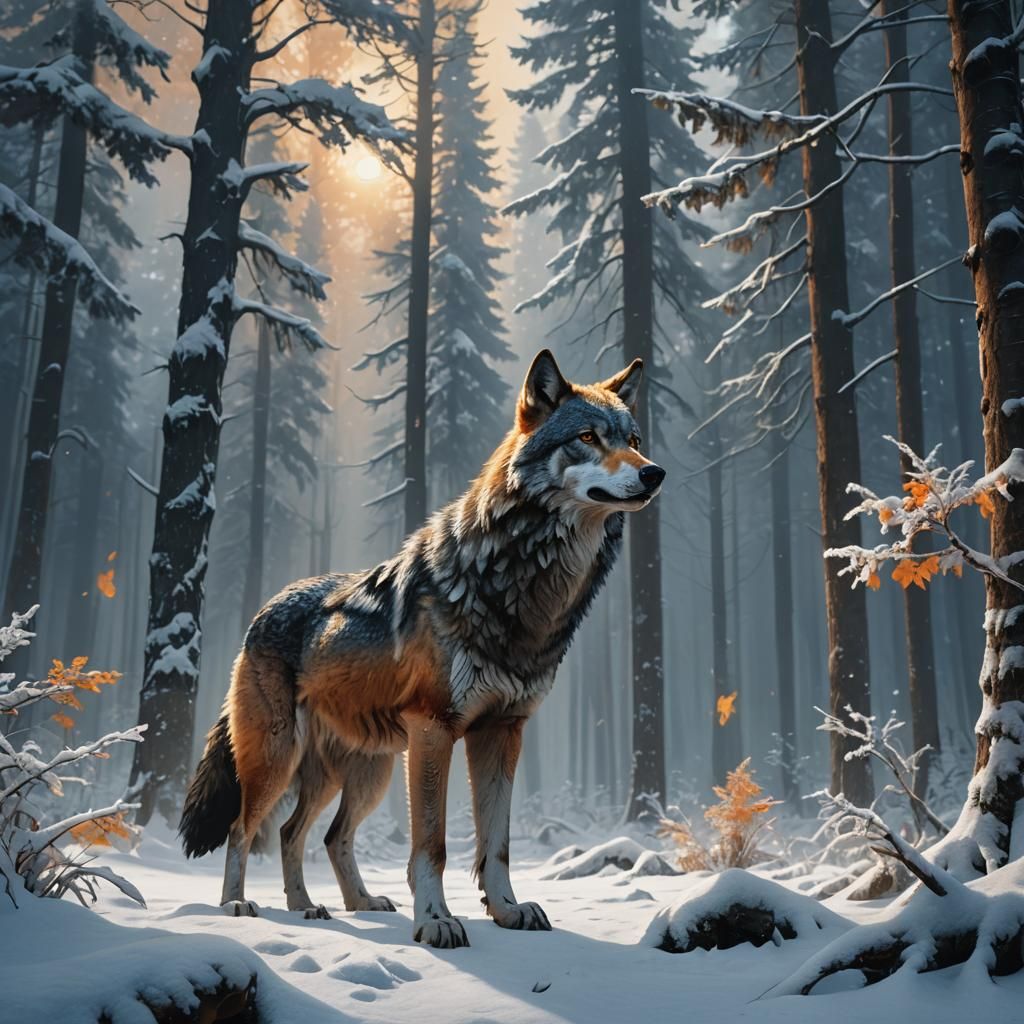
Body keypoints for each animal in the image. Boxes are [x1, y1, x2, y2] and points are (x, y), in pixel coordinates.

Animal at [179, 349, 665, 948]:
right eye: (589, 438)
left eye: (634, 438)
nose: (653, 472)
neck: (521, 592)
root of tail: (263, 610)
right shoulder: (434, 730)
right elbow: (432, 846)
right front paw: (435, 921)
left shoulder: (503, 732)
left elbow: (496, 845)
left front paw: (507, 911)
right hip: (280, 759)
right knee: (243, 829)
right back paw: (237, 905)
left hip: (365, 775)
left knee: (310, 834)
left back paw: (325, 905)